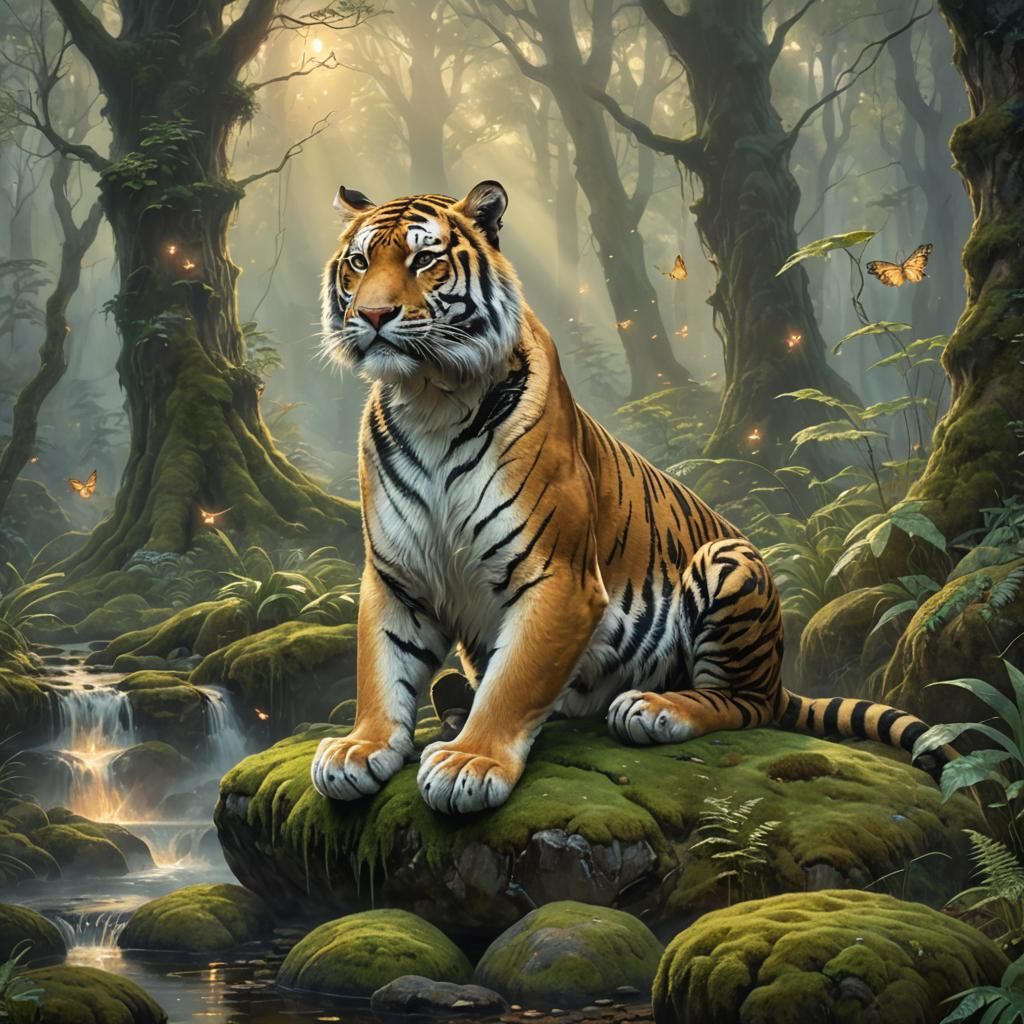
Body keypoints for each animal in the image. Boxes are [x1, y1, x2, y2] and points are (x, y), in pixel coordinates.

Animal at [311, 180, 943, 816]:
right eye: (360, 262)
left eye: (424, 259)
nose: (371, 314)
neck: (429, 399)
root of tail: (778, 672)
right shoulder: (396, 576)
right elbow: (380, 668)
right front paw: (360, 748)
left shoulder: (559, 577)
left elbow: (514, 681)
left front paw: (471, 761)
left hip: (728, 565)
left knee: (746, 703)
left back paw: (654, 708)